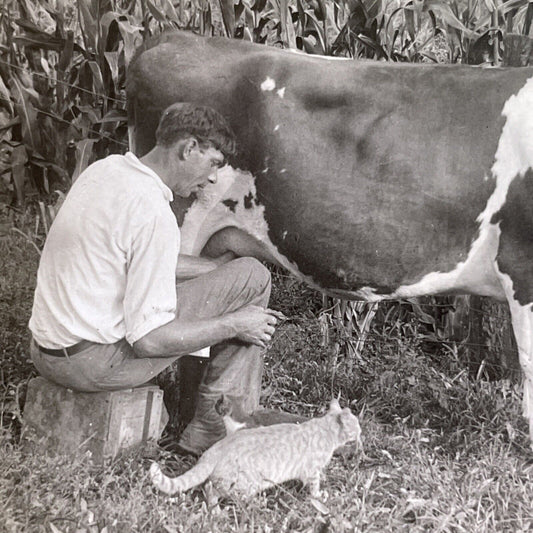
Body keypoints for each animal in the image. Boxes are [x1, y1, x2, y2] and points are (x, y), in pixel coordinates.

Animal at [149, 400, 362, 498]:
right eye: (357, 426)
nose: (362, 434)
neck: (324, 427)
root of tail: (214, 450)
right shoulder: (312, 471)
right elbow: (315, 487)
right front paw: (319, 496)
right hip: (242, 484)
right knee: (211, 489)